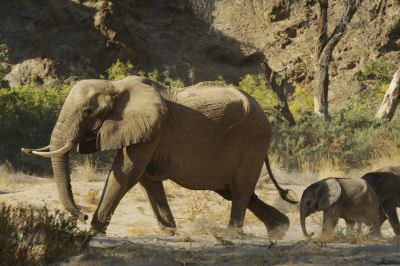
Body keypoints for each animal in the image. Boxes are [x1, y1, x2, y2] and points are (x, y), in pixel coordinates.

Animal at [21, 76, 296, 238]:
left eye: (88, 111)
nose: (83, 215)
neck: (115, 86)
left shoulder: (153, 129)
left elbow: (126, 174)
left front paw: (94, 231)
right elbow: (146, 179)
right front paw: (168, 231)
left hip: (253, 140)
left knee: (239, 190)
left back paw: (231, 234)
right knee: (232, 190)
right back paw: (279, 229)